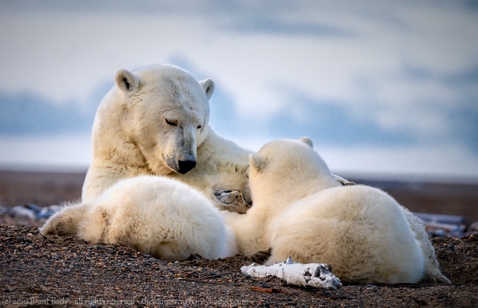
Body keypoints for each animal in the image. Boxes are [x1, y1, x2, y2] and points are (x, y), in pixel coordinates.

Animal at [223, 138, 448, 286]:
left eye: (247, 174)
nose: (245, 195)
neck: (292, 183)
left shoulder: (271, 213)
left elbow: (250, 232)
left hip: (314, 235)